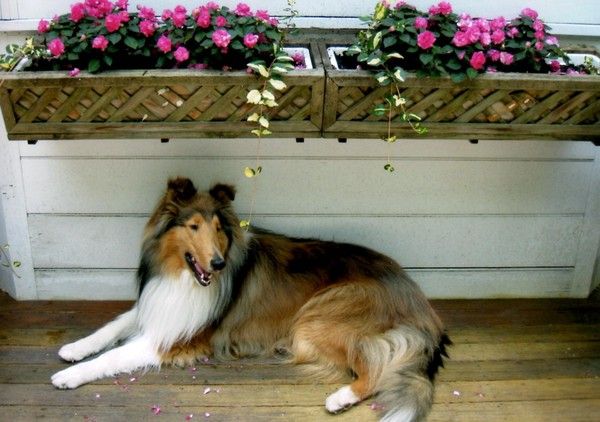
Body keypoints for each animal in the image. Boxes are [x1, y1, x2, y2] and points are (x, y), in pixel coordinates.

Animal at [51, 177, 450, 421]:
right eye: (193, 226)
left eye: (218, 228)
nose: (217, 263)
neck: (183, 277)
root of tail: (418, 299)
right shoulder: (160, 304)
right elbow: (112, 327)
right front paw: (75, 348)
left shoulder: (175, 338)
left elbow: (115, 355)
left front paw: (70, 375)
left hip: (318, 318)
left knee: (377, 368)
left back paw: (340, 398)